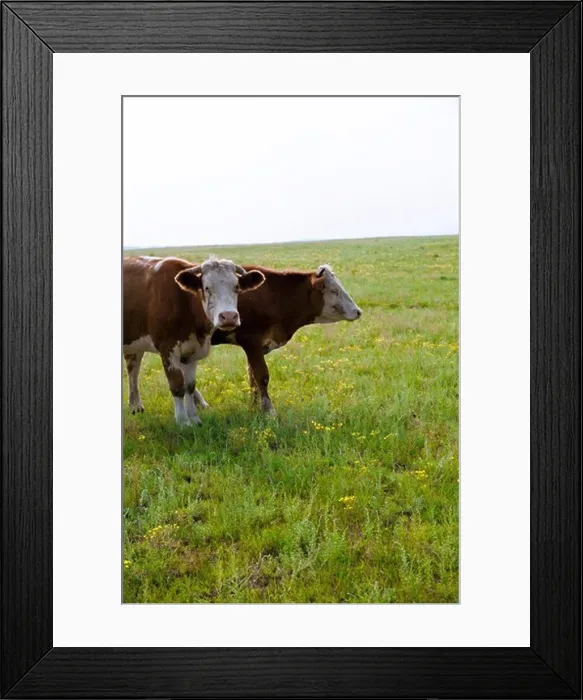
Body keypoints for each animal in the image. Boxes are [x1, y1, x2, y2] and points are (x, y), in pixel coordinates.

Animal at [123, 256, 265, 425]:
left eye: (236, 287)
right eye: (207, 288)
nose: (229, 316)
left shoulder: (192, 351)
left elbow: (189, 386)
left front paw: (194, 418)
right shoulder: (168, 349)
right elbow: (177, 385)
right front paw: (183, 421)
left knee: (133, 367)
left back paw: (135, 405)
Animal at [206, 264, 362, 415]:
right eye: (334, 290)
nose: (358, 311)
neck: (274, 296)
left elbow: (252, 378)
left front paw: (254, 407)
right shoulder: (252, 342)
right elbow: (261, 377)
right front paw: (269, 412)